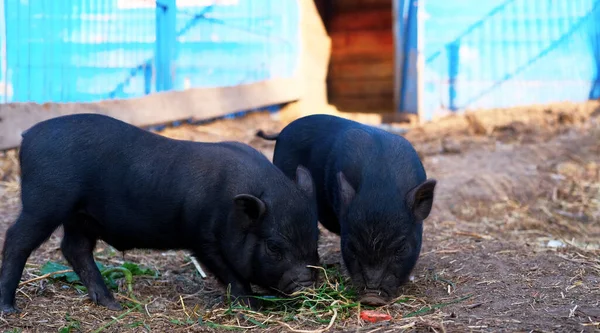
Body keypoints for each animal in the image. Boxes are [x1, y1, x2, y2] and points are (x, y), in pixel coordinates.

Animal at [0, 113, 318, 312]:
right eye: (274, 247)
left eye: (314, 239)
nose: (306, 284)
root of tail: (28, 136)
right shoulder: (203, 238)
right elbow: (229, 273)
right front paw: (253, 305)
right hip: (44, 203)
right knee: (16, 240)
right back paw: (9, 308)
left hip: (80, 217)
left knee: (74, 248)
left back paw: (112, 303)